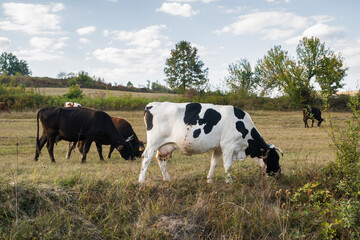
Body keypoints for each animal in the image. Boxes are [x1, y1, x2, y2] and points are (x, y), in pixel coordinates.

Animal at [139, 101, 282, 184]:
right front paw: (229, 181)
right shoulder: (228, 145)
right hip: (153, 142)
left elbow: (214, 163)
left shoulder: (218, 148)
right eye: (275, 158)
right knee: (146, 158)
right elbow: (227, 165)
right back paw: (141, 181)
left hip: (165, 145)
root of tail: (151, 104)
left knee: (160, 159)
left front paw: (209, 180)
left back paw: (166, 179)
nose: (280, 173)